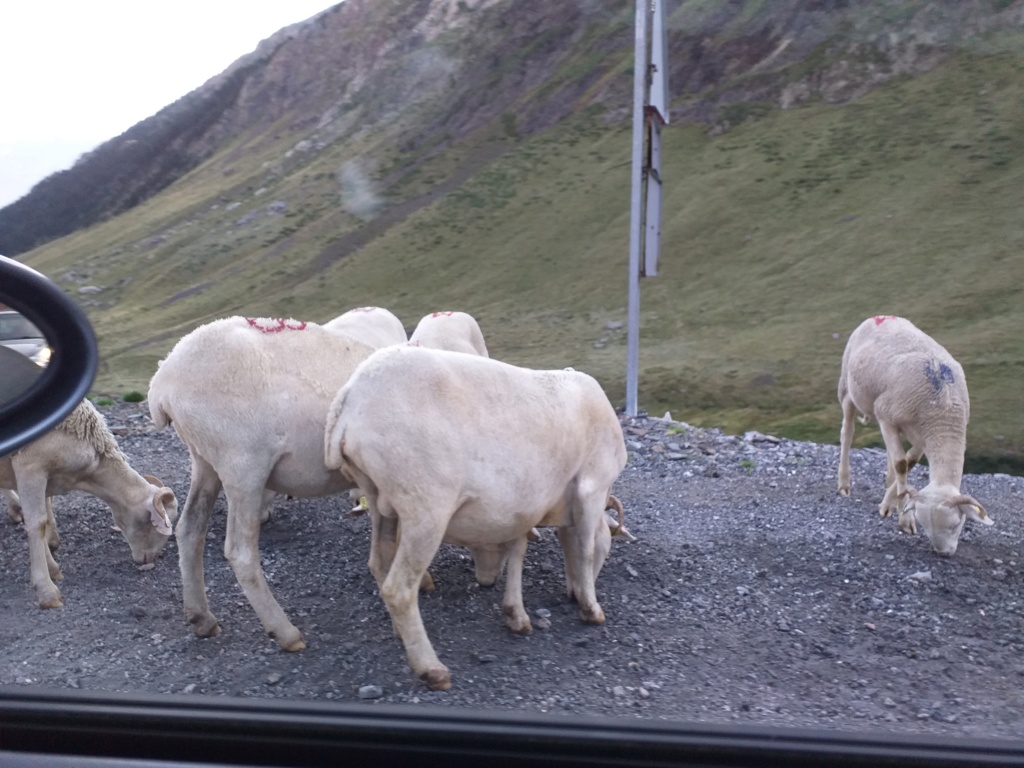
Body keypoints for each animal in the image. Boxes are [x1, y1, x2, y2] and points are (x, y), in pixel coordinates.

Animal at [0, 399, 177, 610]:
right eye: (155, 523)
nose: (150, 560)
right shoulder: (30, 467)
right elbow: (37, 525)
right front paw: (47, 591)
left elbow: (45, 514)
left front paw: (52, 566)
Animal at [148, 315, 376, 651]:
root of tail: (163, 380)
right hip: (243, 464)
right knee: (240, 552)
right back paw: (285, 632)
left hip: (204, 460)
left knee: (189, 529)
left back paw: (201, 618)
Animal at [835, 315, 987, 557]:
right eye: (924, 524)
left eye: (956, 524)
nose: (943, 553)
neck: (943, 412)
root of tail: (880, 316)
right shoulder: (885, 416)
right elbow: (901, 463)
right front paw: (904, 519)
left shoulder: (922, 436)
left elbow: (910, 461)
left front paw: (890, 502)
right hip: (847, 390)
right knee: (847, 434)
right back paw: (844, 484)